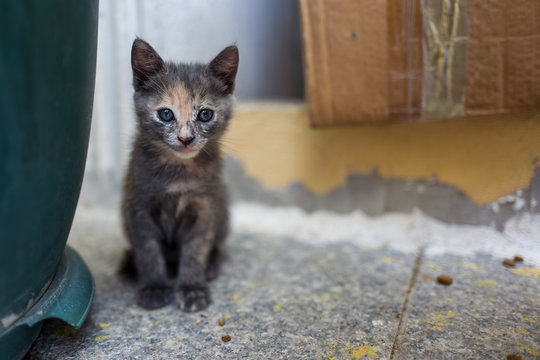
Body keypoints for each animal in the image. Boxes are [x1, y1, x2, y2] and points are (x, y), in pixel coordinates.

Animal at [122, 38, 240, 310]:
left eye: (205, 114)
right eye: (166, 114)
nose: (186, 138)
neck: (178, 171)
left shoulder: (205, 206)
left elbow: (196, 248)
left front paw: (192, 288)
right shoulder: (138, 207)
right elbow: (148, 249)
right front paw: (154, 288)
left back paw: (211, 265)